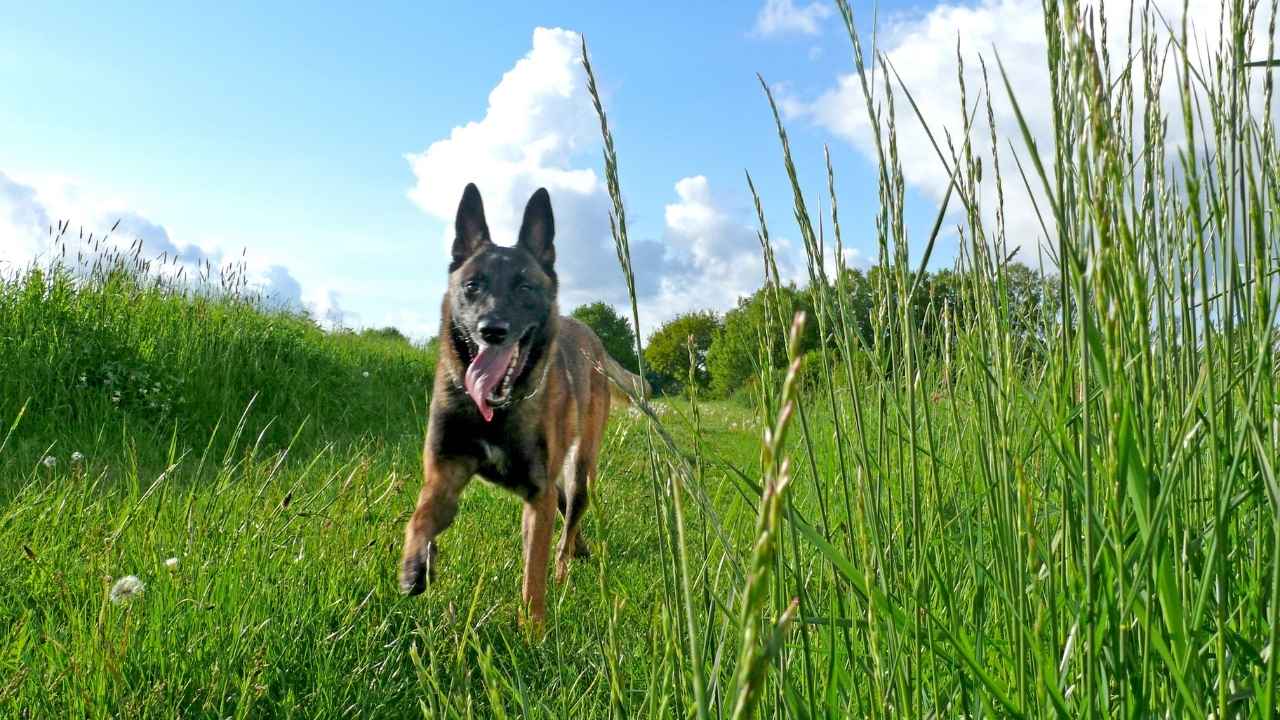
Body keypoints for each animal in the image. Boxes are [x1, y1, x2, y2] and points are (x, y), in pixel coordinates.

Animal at [394, 180, 645, 622]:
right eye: (472, 286)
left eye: (525, 287)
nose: (492, 329)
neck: (495, 411)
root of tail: (594, 339)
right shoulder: (444, 475)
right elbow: (419, 517)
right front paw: (414, 566)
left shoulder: (535, 499)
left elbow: (533, 581)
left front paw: (534, 631)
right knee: (565, 513)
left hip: (581, 471)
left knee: (567, 523)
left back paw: (565, 570)